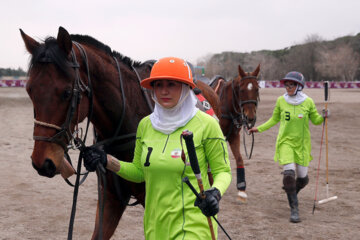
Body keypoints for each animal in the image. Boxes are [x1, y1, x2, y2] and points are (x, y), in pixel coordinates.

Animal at [195, 64, 260, 202]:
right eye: (241, 90)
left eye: (257, 89)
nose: (250, 117)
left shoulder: (234, 136)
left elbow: (239, 159)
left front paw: (241, 189)